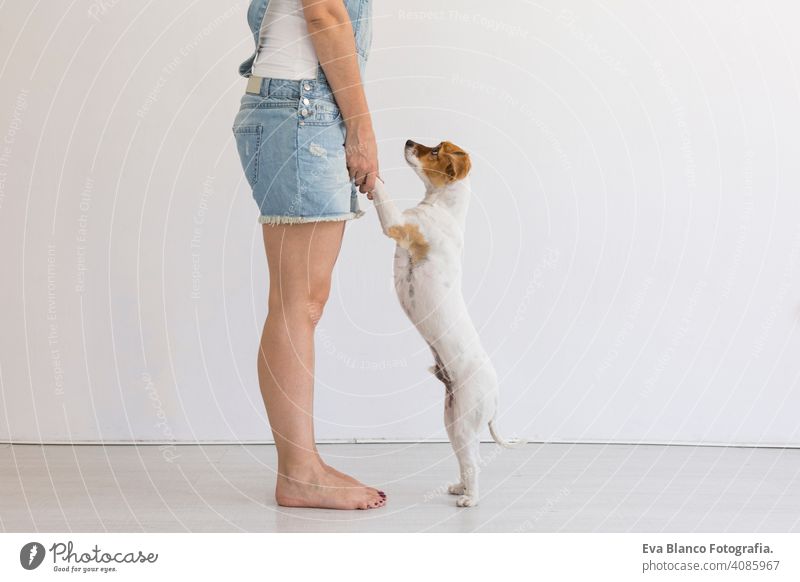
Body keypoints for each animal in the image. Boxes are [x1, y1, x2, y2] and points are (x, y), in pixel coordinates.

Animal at [372, 139, 528, 508]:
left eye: (433, 151)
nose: (408, 141)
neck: (443, 209)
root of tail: (495, 396)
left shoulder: (397, 224)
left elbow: (382, 193)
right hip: (452, 420)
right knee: (464, 461)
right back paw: (459, 487)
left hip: (464, 423)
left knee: (473, 463)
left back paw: (470, 499)